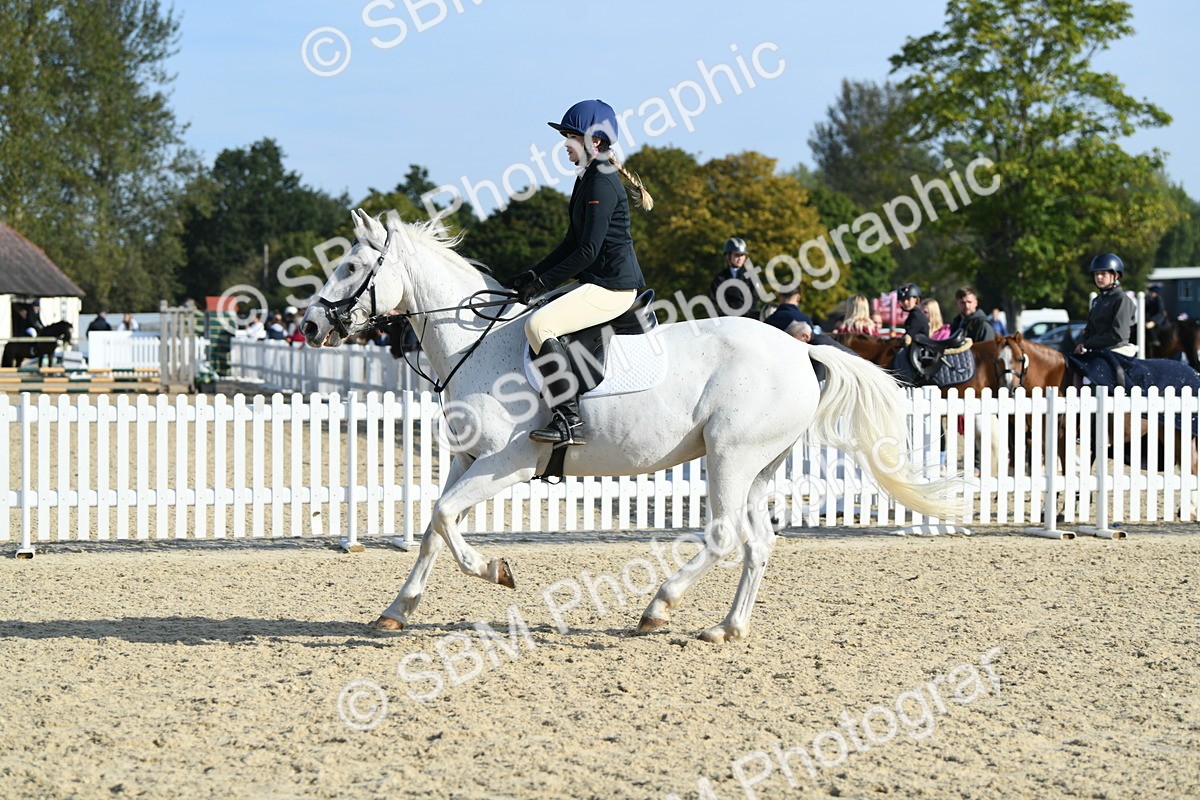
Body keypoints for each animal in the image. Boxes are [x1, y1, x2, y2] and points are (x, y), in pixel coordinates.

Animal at [301, 210, 963, 643]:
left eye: (352, 265)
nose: (309, 325)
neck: (476, 344)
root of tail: (803, 351)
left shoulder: (507, 463)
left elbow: (443, 519)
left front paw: (496, 571)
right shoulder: (467, 460)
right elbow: (434, 527)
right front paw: (398, 608)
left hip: (728, 456)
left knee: (724, 536)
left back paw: (659, 608)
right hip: (757, 466)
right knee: (758, 544)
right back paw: (728, 627)